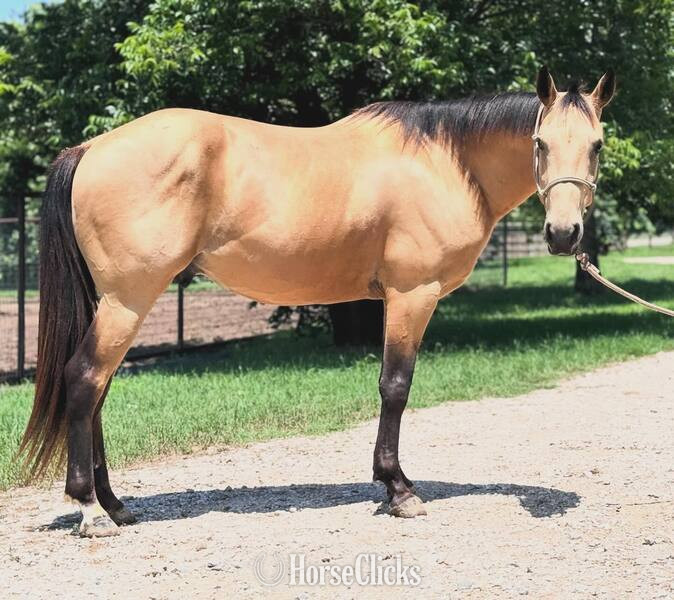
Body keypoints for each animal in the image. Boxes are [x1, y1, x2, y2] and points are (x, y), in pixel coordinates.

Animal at [19, 66, 615, 537]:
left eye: (597, 145)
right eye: (539, 143)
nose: (564, 234)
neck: (446, 160)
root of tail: (90, 149)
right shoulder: (411, 295)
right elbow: (395, 387)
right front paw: (398, 490)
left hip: (118, 303)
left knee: (97, 390)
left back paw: (115, 506)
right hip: (129, 299)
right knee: (84, 381)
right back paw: (90, 511)